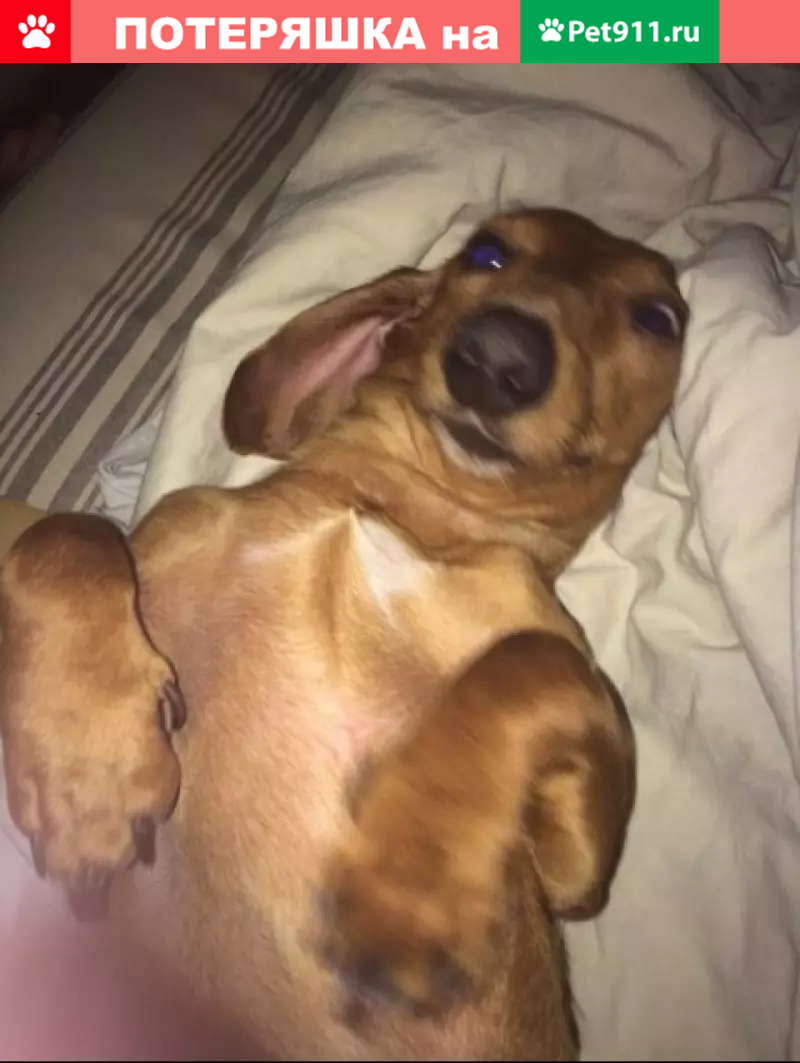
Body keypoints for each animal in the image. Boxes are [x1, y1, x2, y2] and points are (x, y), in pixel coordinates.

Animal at [0, 208, 687, 1060]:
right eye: (486, 251)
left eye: (659, 318)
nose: (500, 356)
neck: (395, 508)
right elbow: (64, 533)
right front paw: (86, 766)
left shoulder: (574, 867)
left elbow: (533, 662)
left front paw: (414, 881)